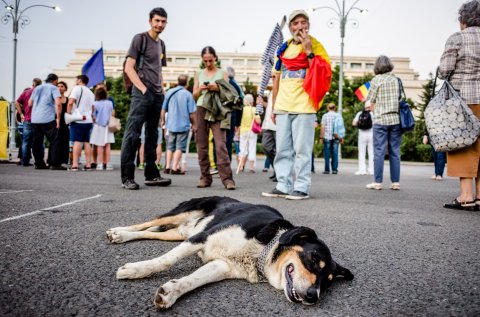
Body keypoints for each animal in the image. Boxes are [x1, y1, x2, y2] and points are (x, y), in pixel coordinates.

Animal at [107, 195, 354, 308]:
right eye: (313, 258)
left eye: (327, 283)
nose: (313, 296)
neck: (261, 249)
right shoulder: (202, 238)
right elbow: (166, 261)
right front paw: (136, 270)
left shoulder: (221, 265)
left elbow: (192, 281)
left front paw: (171, 293)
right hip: (183, 214)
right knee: (146, 224)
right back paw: (118, 232)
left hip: (179, 234)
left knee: (153, 232)